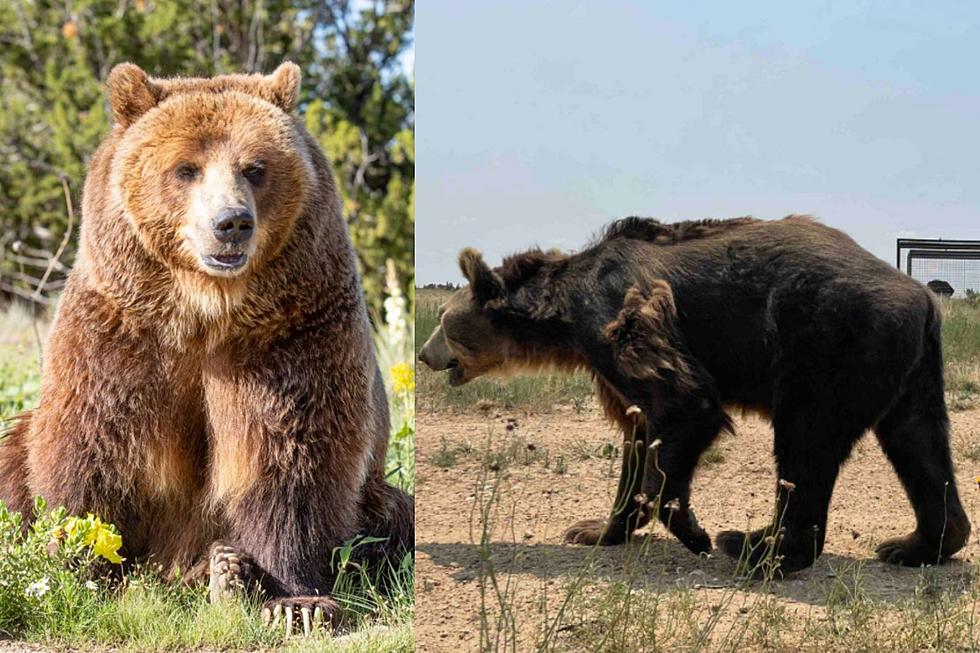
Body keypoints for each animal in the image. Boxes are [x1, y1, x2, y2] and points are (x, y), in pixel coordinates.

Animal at [422, 213, 972, 572]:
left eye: (444, 322)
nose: (424, 354)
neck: (561, 318)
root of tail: (921, 295)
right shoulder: (608, 363)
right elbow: (638, 431)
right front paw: (594, 529)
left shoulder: (617, 320)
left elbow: (684, 405)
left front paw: (695, 531)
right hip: (909, 366)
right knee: (918, 442)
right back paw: (915, 544)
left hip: (833, 342)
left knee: (806, 441)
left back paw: (755, 546)